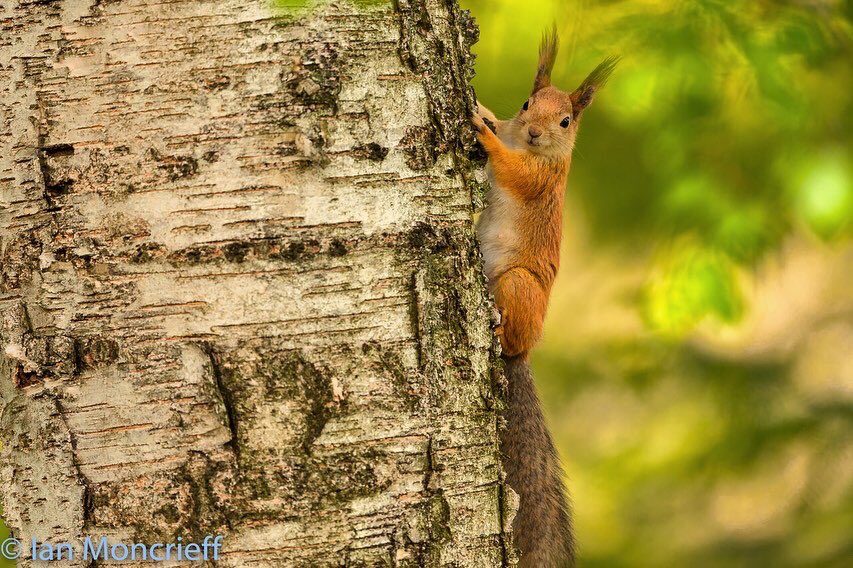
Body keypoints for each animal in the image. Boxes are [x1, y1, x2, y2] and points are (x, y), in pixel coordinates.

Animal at [471, 27, 617, 567]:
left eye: (565, 120)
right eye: (526, 103)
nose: (534, 133)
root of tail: (526, 352)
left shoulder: (540, 179)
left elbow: (512, 169)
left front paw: (483, 132)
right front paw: (484, 112)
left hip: (517, 285)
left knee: (511, 335)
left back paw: (499, 329)